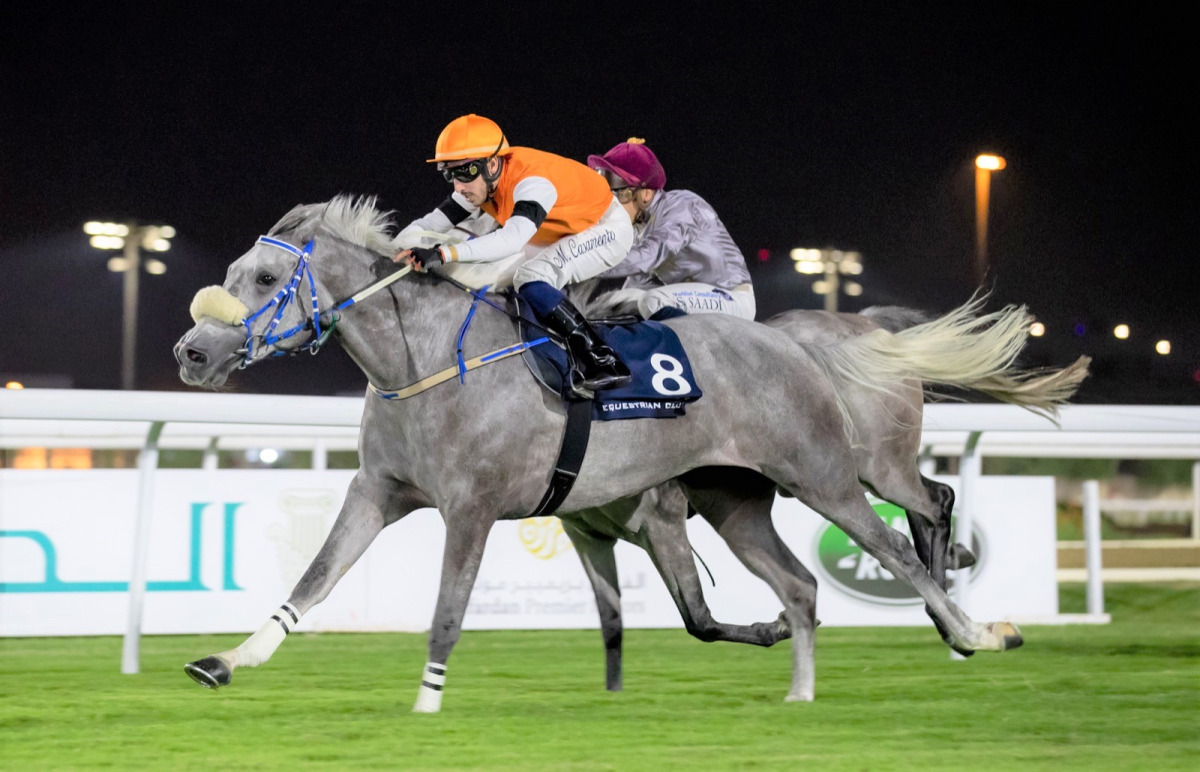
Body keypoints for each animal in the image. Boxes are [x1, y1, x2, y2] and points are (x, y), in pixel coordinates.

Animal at [175, 196, 1089, 710]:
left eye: (265, 281)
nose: (191, 353)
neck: (425, 360)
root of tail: (795, 345)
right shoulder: (380, 491)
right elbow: (314, 580)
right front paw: (226, 661)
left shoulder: (475, 508)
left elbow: (448, 611)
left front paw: (428, 703)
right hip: (735, 500)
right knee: (801, 585)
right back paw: (801, 691)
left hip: (829, 474)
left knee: (903, 537)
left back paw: (976, 631)